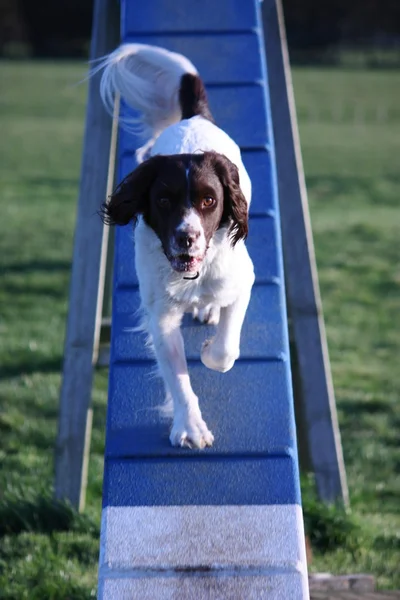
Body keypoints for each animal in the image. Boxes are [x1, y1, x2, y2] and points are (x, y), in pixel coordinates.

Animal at [97, 44, 253, 448]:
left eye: (209, 201)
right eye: (164, 201)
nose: (186, 237)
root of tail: (194, 116)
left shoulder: (242, 281)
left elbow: (226, 349)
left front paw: (210, 349)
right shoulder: (161, 316)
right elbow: (178, 378)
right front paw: (191, 427)